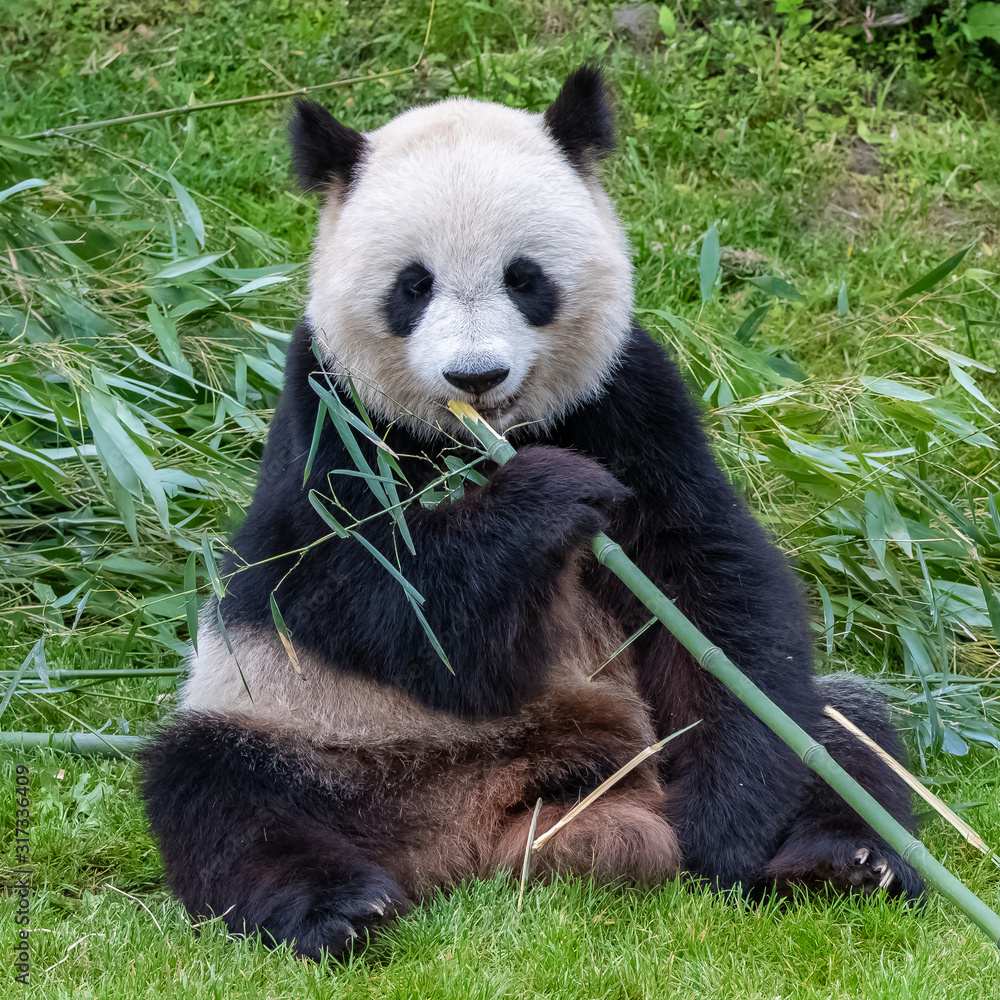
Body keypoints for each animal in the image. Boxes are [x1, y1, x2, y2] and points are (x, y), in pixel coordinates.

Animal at [141, 66, 923, 961]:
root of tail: (486, 837)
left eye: (525, 277)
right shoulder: (328, 415)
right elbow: (364, 591)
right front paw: (550, 494)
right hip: (309, 727)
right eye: (413, 286)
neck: (483, 441)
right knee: (219, 793)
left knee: (846, 735)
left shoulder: (628, 400)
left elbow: (711, 585)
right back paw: (339, 909)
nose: (475, 376)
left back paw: (842, 861)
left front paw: (723, 830)